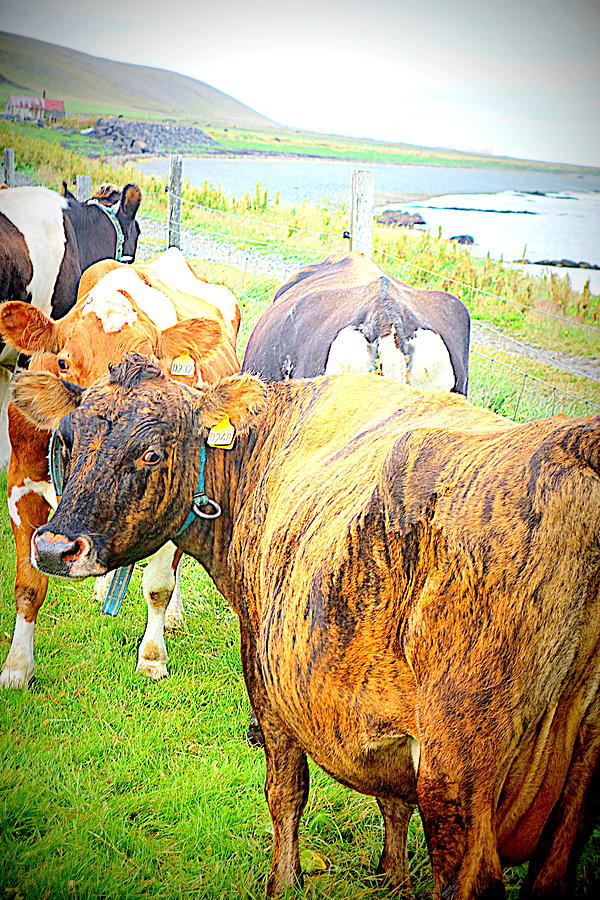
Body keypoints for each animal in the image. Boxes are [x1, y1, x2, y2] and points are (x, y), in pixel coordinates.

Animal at [0, 249, 241, 689]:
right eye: (63, 362)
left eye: (155, 367)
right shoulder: (21, 485)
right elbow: (28, 584)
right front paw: (17, 668)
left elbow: (159, 586)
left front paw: (152, 657)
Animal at [13, 353, 599, 899]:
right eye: (68, 439)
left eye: (151, 452)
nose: (54, 547)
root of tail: (573, 444)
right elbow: (392, 801)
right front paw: (391, 876)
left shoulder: (267, 678)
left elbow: (286, 792)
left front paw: (283, 881)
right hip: (576, 780)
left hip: (458, 769)